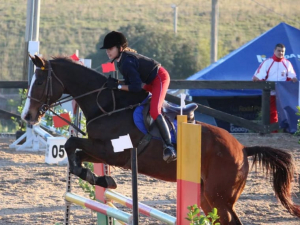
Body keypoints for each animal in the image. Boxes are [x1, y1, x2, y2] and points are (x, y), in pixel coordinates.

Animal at [21, 55, 300, 225]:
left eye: (39, 82)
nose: (27, 116)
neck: (108, 105)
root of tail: (242, 148)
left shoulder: (113, 152)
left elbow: (72, 145)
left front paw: (101, 179)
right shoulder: (100, 150)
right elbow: (74, 152)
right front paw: (100, 179)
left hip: (220, 196)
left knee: (230, 219)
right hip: (208, 197)